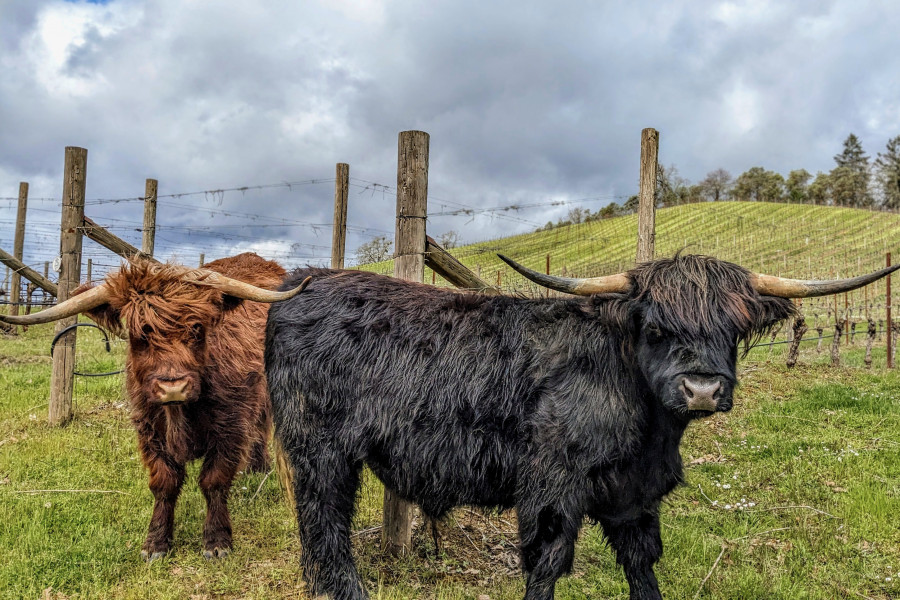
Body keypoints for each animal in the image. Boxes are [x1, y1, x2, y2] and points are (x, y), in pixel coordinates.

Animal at [264, 254, 896, 600]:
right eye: (656, 327)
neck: (650, 434)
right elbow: (547, 564)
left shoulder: (635, 496)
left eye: (732, 328)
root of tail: (303, 282)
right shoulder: (552, 486)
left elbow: (642, 565)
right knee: (326, 533)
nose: (701, 389)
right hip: (320, 453)